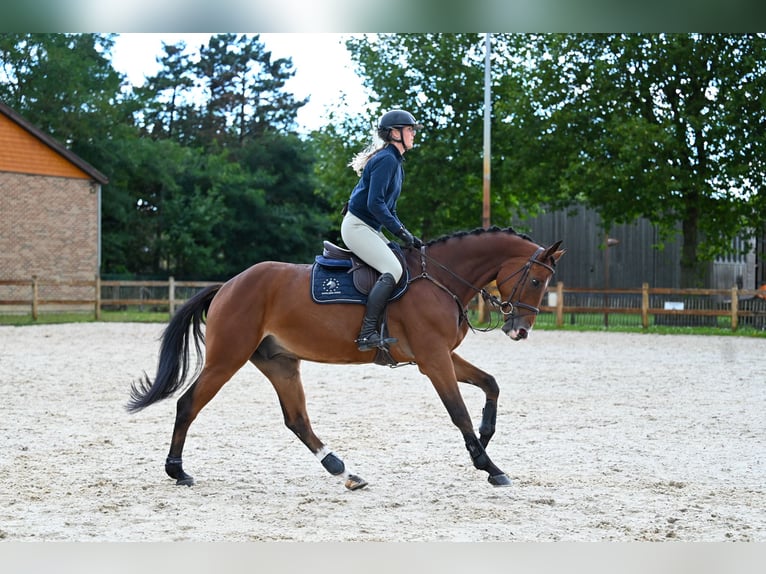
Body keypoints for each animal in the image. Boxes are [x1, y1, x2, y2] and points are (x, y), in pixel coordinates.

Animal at [127, 227, 564, 492]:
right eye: (536, 280)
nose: (520, 331)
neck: (442, 279)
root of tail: (228, 285)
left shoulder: (442, 355)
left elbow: (491, 383)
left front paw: (485, 440)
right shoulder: (434, 359)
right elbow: (458, 412)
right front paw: (489, 466)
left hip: (280, 363)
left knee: (297, 420)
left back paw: (344, 470)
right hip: (227, 358)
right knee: (188, 404)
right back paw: (177, 470)